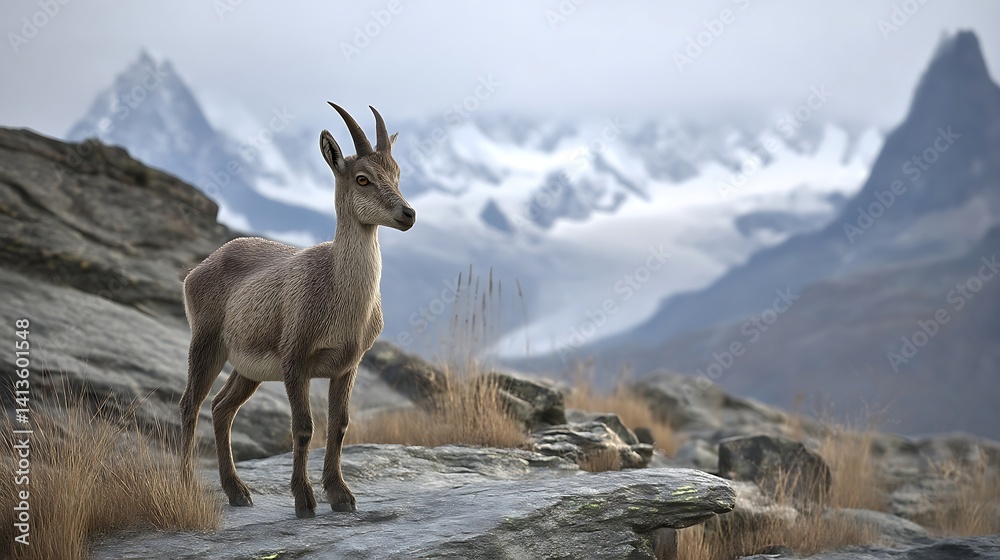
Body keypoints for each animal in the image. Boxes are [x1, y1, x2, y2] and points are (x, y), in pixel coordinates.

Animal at [178, 103, 414, 518]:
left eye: (397, 173)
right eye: (363, 179)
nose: (408, 214)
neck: (340, 296)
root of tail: (196, 271)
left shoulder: (347, 365)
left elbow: (339, 425)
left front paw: (341, 496)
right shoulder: (295, 359)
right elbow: (303, 426)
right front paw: (305, 500)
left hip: (247, 368)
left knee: (222, 408)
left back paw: (237, 491)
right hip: (206, 344)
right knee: (190, 405)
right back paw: (188, 485)